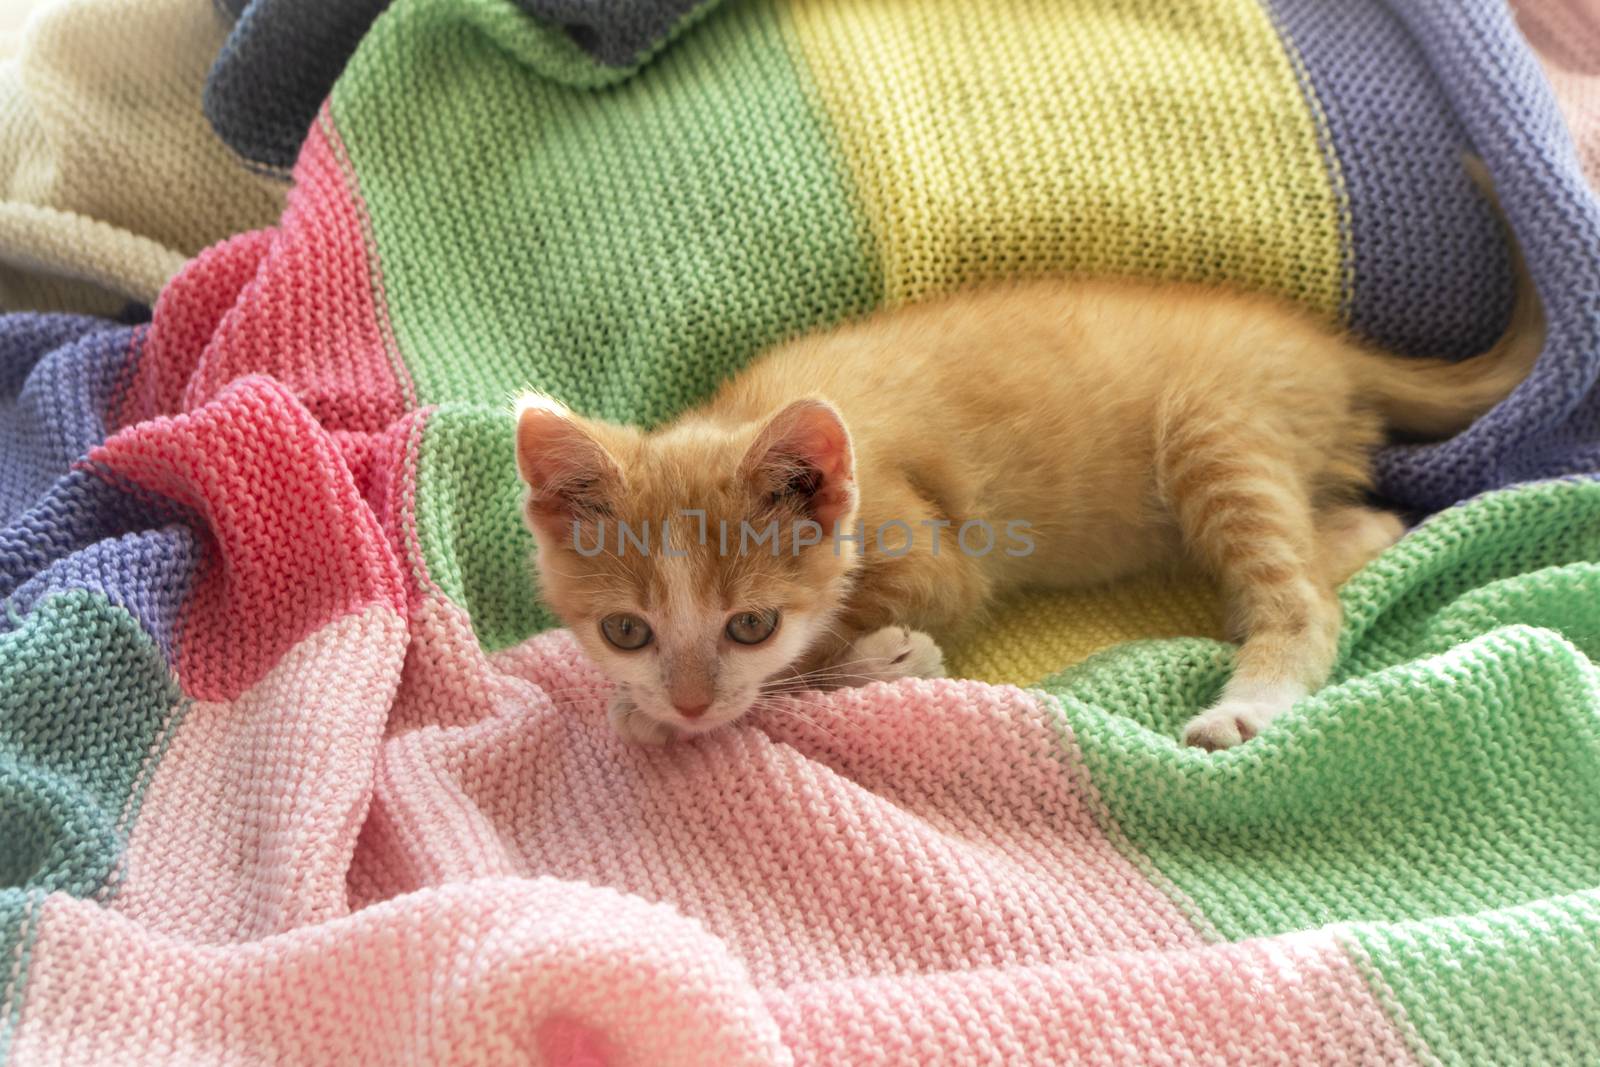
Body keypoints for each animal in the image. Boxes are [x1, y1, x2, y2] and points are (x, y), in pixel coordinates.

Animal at [512, 207, 1536, 751]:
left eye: (751, 624)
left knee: (1305, 594)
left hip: (1214, 423)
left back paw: (1250, 697)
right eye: (627, 629)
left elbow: (836, 645)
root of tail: (1326, 343)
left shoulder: (935, 557)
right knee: (1362, 526)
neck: (741, 407)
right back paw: (1360, 534)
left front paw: (876, 659)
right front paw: (655, 708)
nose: (688, 701)